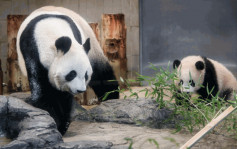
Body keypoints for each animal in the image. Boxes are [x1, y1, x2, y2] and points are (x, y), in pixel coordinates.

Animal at [16, 5, 118, 134]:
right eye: (72, 74)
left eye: (86, 75)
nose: (80, 90)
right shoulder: (32, 53)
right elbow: (44, 92)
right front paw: (56, 122)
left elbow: (65, 97)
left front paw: (62, 124)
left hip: (91, 46)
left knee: (102, 75)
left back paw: (111, 98)